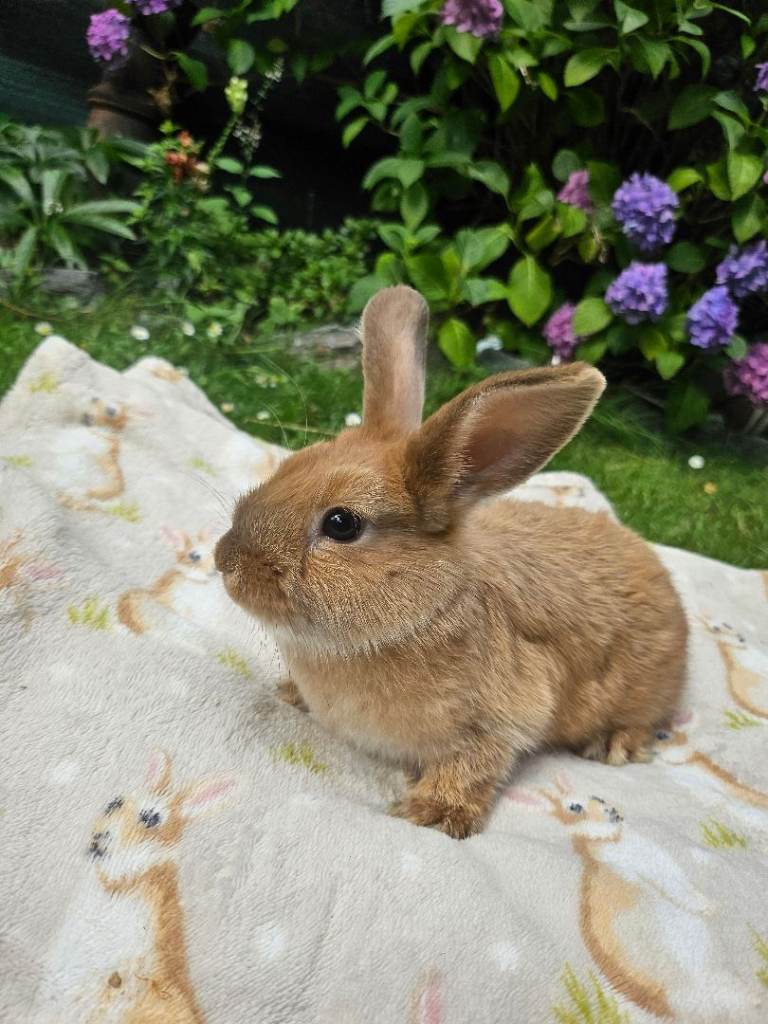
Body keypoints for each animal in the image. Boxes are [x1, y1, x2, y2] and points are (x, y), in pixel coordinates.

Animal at [215, 285, 688, 839]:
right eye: (290, 465)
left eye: (342, 524)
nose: (226, 560)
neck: (426, 611)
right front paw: (288, 693)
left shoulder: (501, 719)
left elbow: (474, 765)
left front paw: (433, 813)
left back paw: (615, 744)